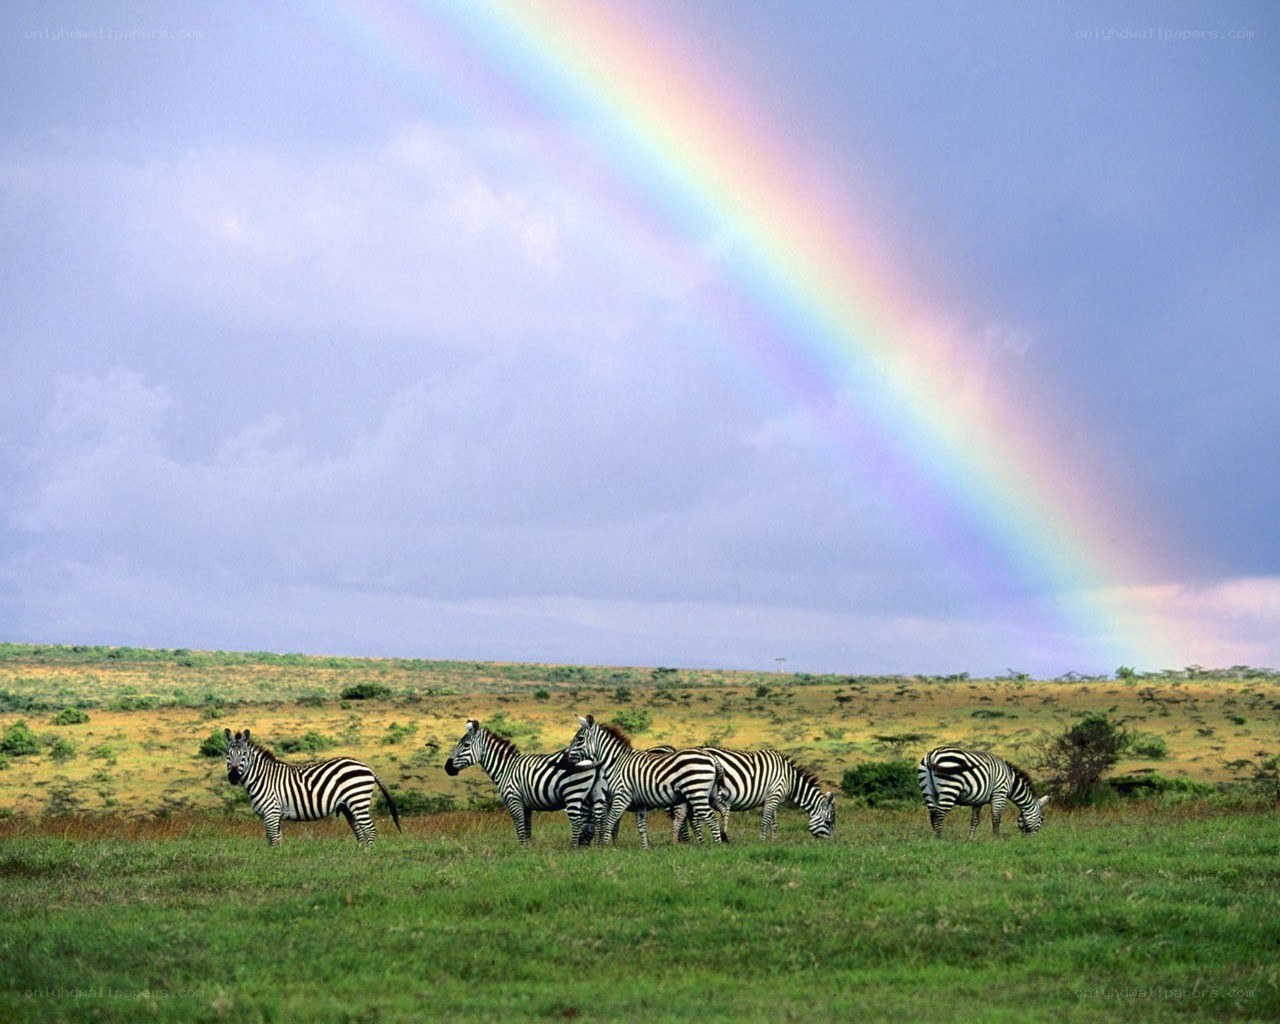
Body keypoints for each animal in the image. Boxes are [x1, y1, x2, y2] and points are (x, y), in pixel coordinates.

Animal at [223, 728, 401, 846]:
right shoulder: (275, 814)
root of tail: (367, 767)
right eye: (228, 754)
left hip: (358, 800)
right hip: (348, 807)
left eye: (243, 755)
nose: (233, 777)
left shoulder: (271, 812)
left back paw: (368, 857)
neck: (262, 778)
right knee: (360, 831)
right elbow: (278, 840)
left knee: (370, 829)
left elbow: (272, 840)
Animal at [444, 719, 598, 846]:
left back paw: (573, 848)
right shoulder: (526, 805)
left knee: (578, 823)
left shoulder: (514, 799)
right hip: (586, 797)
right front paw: (528, 849)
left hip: (573, 793)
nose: (447, 767)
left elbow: (519, 826)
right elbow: (527, 828)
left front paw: (522, 848)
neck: (506, 768)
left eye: (465, 745)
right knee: (589, 822)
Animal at [562, 715, 724, 849]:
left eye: (580, 739)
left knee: (711, 818)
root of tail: (711, 757)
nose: (566, 759)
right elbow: (641, 827)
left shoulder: (621, 796)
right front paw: (645, 849)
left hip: (696, 792)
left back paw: (716, 847)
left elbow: (609, 822)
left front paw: (603, 847)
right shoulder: (640, 803)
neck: (617, 762)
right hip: (706, 794)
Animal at [671, 748, 836, 841]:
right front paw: (762, 841)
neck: (790, 779)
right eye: (828, 822)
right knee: (694, 817)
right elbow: (765, 821)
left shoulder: (772, 798)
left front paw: (774, 841)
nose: (832, 845)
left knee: (683, 815)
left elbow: (774, 823)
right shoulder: (774, 795)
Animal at [917, 746, 1050, 838]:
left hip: (928, 790)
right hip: (950, 787)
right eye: (1042, 818)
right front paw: (996, 839)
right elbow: (996, 818)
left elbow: (975, 821)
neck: (1011, 782)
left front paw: (970, 838)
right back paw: (940, 839)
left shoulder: (978, 800)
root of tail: (933, 754)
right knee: (939, 815)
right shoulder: (999, 794)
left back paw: (935, 839)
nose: (1032, 840)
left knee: (933, 815)